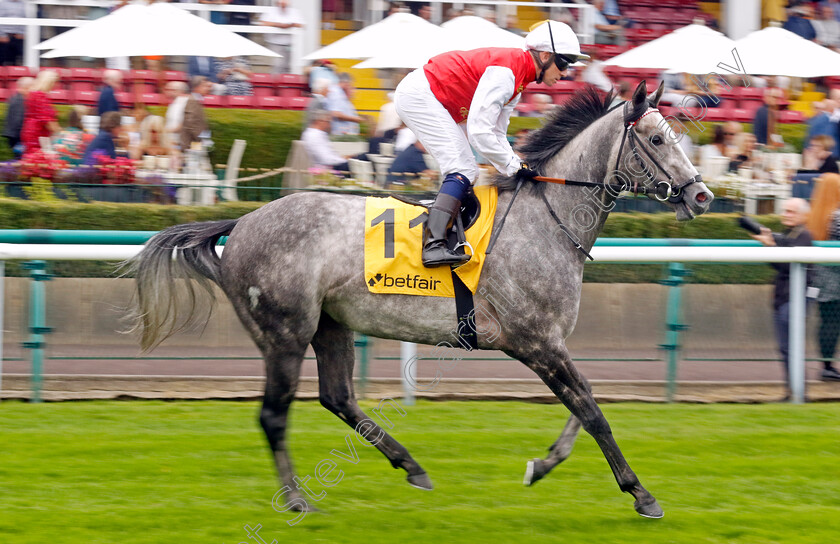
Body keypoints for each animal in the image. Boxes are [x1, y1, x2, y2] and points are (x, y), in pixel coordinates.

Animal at [131, 81, 716, 520]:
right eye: (656, 139)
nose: (702, 195)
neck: (546, 219)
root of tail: (242, 222)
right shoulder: (534, 342)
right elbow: (592, 411)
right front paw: (641, 494)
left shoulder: (549, 341)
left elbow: (586, 406)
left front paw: (544, 464)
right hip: (284, 333)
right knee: (274, 414)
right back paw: (297, 499)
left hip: (331, 325)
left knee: (338, 398)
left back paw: (410, 465)